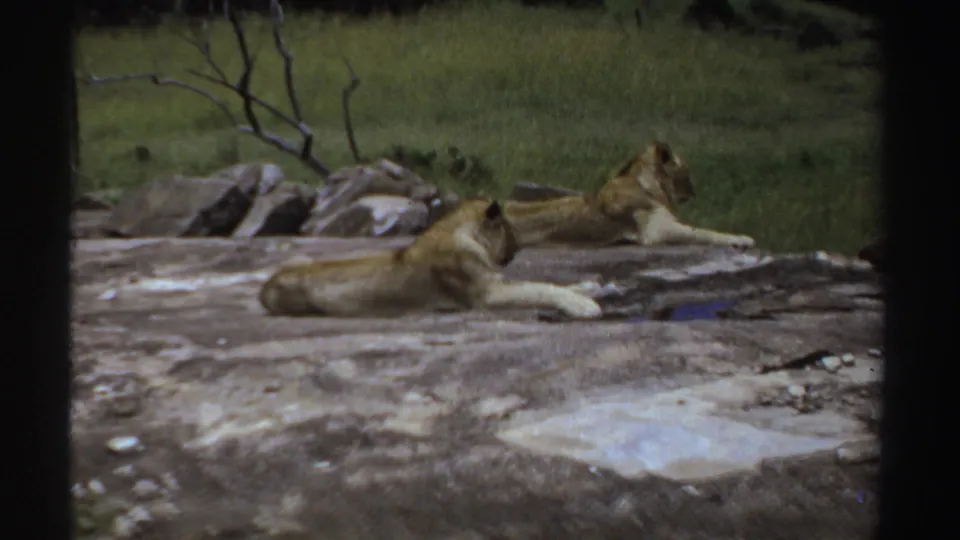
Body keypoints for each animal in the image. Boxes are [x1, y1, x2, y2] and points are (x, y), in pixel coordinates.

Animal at [258, 198, 603, 319]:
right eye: (508, 229)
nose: (516, 249)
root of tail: (264, 288)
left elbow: (550, 282)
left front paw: (591, 287)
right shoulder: (487, 294)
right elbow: (541, 287)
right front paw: (584, 305)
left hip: (298, 257)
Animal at [503, 141, 755, 249]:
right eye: (686, 171)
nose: (693, 193)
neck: (647, 185)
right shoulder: (657, 231)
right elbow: (704, 232)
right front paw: (742, 239)